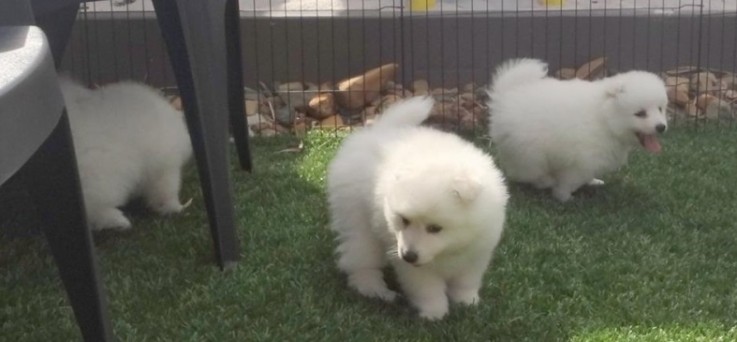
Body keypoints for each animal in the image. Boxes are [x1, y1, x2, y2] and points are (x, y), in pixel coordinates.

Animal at [59, 77, 191, 231]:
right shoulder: (165, 169)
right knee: (93, 209)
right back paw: (119, 221)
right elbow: (166, 193)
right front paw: (176, 208)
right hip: (100, 180)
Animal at [324, 95, 508, 320]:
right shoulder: (415, 267)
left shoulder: (476, 254)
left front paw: (467, 302)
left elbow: (465, 282)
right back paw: (375, 289)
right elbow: (427, 288)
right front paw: (434, 313)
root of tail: (376, 131)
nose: (408, 255)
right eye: (404, 220)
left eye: (435, 228)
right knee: (360, 258)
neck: (448, 251)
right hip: (358, 220)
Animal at [486, 58, 668, 202]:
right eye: (640, 113)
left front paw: (592, 181)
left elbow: (586, 175)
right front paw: (564, 197)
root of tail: (504, 100)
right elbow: (570, 182)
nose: (661, 127)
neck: (604, 118)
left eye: (660, 109)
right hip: (529, 152)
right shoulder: (579, 162)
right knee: (530, 172)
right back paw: (547, 181)